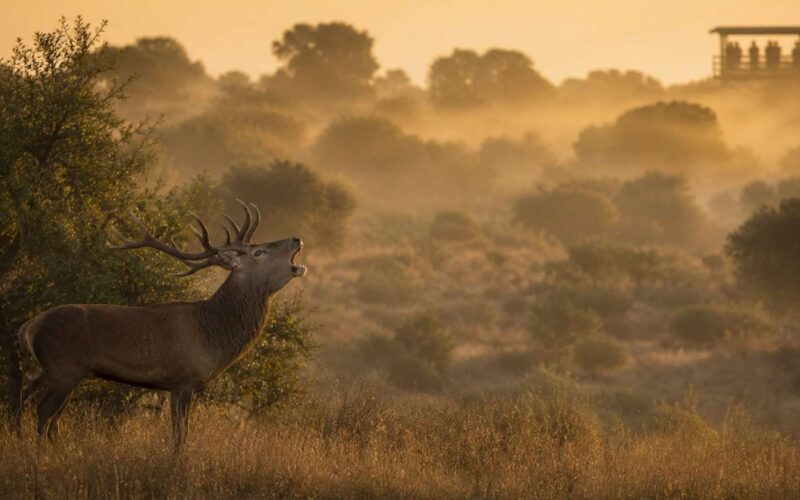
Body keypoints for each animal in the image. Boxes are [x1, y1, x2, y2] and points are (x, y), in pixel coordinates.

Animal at [6, 201, 306, 449]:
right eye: (258, 252)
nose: (297, 238)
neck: (214, 336)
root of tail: (28, 328)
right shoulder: (182, 380)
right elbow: (180, 435)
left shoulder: (187, 386)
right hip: (62, 368)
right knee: (42, 413)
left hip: (73, 374)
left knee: (54, 421)